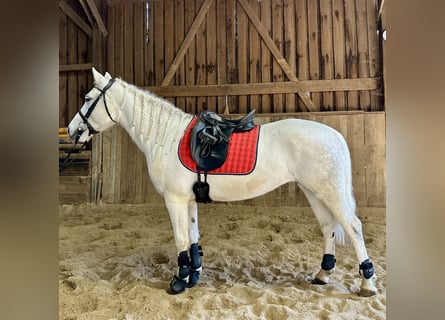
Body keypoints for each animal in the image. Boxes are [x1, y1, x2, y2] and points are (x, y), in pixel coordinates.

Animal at [67, 69, 376, 296]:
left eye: (87, 98)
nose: (71, 130)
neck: (166, 136)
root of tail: (334, 135)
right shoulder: (188, 200)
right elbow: (193, 237)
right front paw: (193, 276)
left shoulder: (175, 199)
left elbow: (181, 239)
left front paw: (178, 282)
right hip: (313, 190)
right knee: (328, 227)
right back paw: (323, 274)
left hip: (329, 191)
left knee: (353, 227)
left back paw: (367, 283)